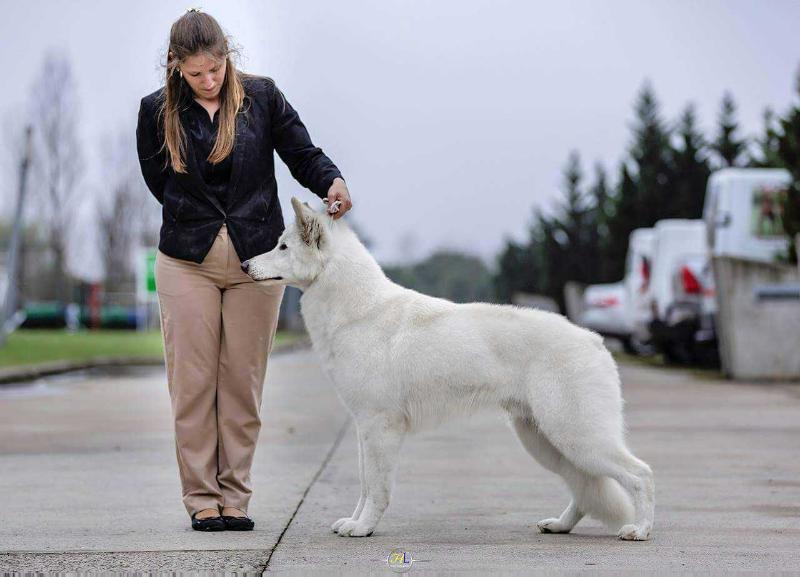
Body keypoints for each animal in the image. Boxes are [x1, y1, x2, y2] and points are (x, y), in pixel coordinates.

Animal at [245, 197, 656, 540]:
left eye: (283, 247)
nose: (245, 265)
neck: (358, 309)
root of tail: (594, 340)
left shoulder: (380, 426)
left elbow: (376, 488)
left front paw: (363, 528)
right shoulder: (365, 427)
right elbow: (364, 484)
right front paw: (356, 521)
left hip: (576, 435)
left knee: (641, 474)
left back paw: (639, 530)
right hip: (547, 441)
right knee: (585, 486)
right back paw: (561, 525)